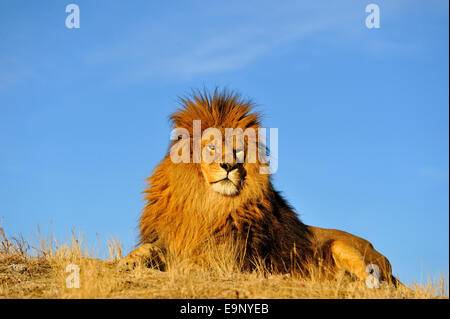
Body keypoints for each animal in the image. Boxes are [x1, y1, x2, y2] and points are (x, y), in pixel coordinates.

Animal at [121, 89, 402, 288]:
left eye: (238, 151)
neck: (207, 204)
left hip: (343, 247)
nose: (229, 166)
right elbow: (149, 249)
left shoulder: (230, 256)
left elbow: (194, 262)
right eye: (211, 147)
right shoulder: (165, 237)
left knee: (374, 282)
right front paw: (127, 261)